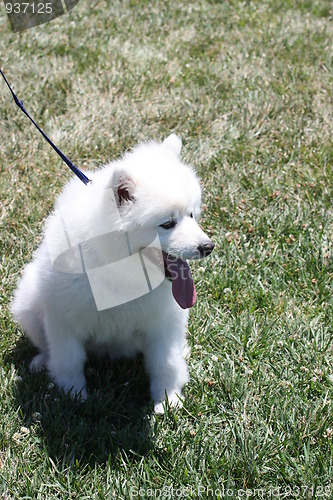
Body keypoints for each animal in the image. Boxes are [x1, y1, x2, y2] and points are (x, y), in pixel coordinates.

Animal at [11, 135, 214, 412]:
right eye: (167, 224)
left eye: (192, 215)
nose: (208, 246)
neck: (120, 268)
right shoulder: (64, 322)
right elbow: (69, 361)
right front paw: (74, 395)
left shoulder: (164, 321)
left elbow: (166, 361)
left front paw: (167, 399)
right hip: (28, 303)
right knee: (46, 345)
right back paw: (42, 361)